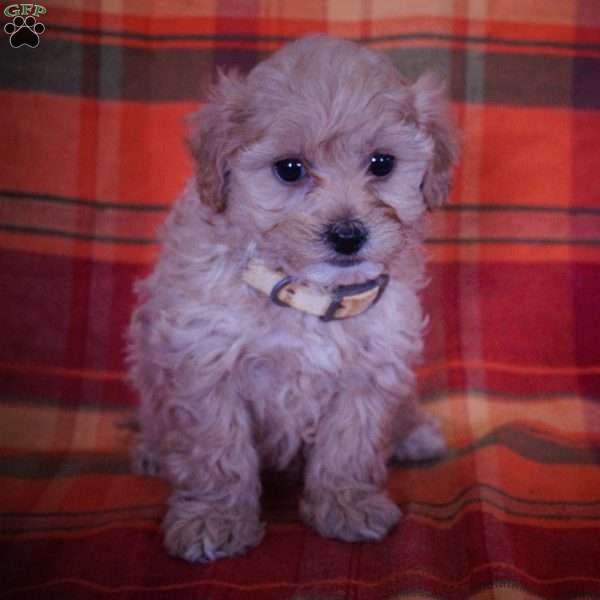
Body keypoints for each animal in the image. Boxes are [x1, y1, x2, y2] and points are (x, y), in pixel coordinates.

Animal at [125, 34, 454, 564]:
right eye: (290, 169)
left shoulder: (370, 367)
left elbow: (348, 445)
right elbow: (217, 451)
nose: (348, 235)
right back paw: (154, 449)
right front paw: (214, 518)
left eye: (382, 163)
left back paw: (414, 432)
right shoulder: (205, 363)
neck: (306, 293)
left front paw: (346, 504)